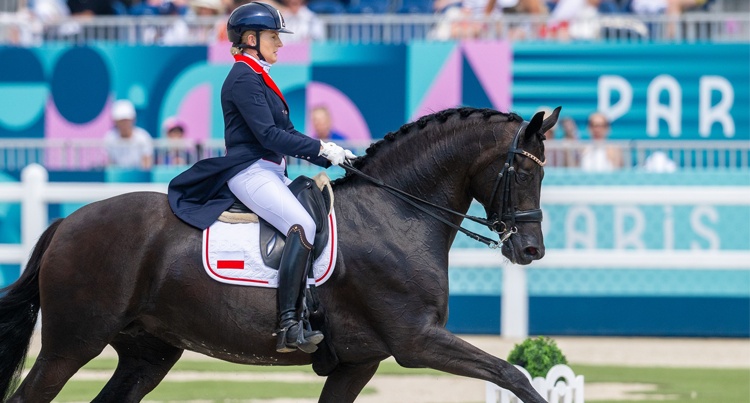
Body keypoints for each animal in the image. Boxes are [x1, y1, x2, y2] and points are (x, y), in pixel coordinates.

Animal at [0, 107, 560, 403]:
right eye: (524, 171)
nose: (531, 249)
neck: (397, 211)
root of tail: (67, 222)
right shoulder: (416, 341)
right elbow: (513, 374)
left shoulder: (359, 362)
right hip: (72, 343)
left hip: (148, 353)